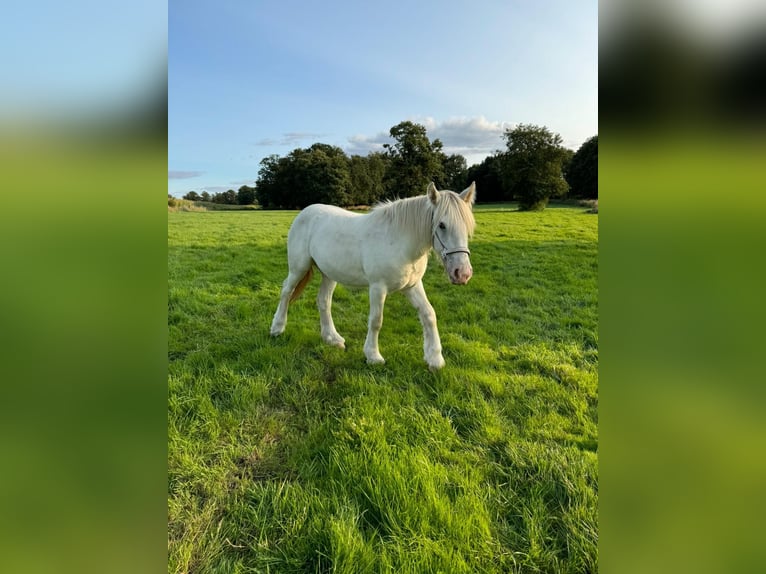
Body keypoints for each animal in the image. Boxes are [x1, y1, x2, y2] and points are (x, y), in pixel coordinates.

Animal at [268, 181, 474, 368]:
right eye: (442, 225)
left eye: (467, 226)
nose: (462, 273)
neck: (399, 240)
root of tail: (304, 212)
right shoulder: (377, 287)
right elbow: (376, 321)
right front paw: (373, 356)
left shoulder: (412, 286)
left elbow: (429, 314)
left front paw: (435, 359)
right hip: (298, 267)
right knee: (286, 292)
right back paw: (277, 328)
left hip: (329, 273)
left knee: (323, 301)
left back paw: (332, 339)